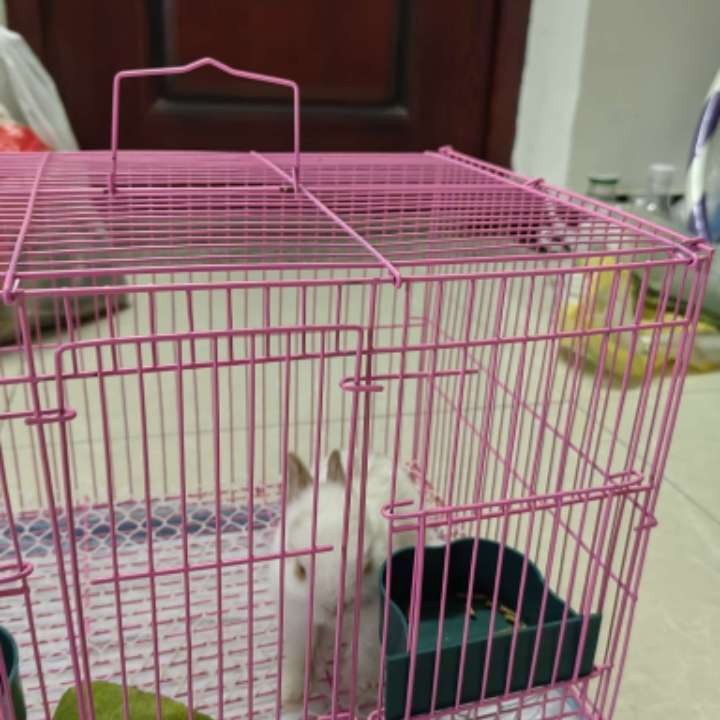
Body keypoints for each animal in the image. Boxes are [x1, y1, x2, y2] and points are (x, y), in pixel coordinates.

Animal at [271, 448, 417, 714]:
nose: (336, 607)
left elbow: (363, 658)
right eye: (299, 570)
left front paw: (357, 695)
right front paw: (291, 695)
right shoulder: (297, 618)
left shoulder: (371, 623)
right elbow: (299, 655)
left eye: (367, 564)